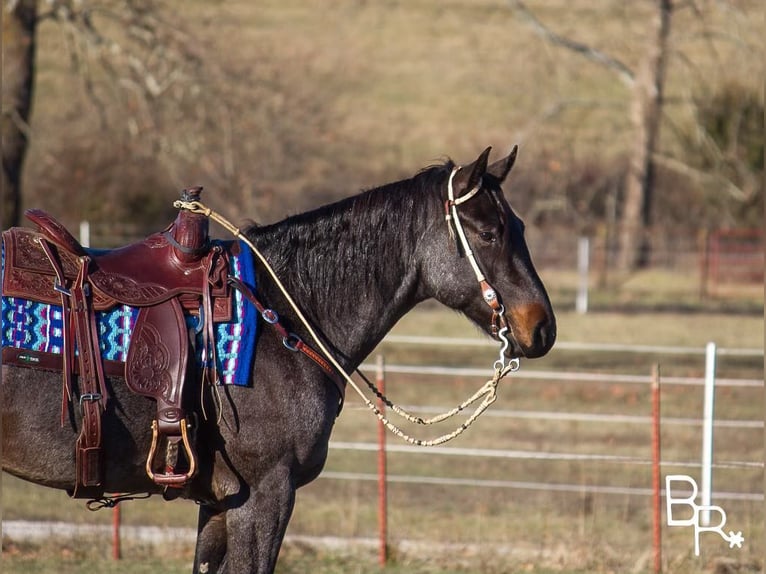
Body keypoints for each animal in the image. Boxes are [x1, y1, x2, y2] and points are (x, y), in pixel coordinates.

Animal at [4, 146, 560, 572]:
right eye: (489, 233)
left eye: (519, 225)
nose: (542, 327)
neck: (283, 311)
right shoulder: (265, 493)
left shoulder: (219, 503)